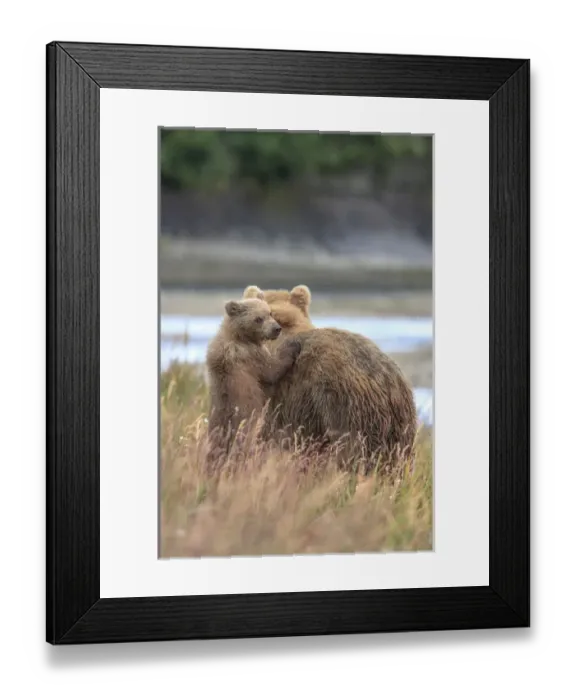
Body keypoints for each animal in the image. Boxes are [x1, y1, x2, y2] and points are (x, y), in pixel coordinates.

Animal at [205, 294, 302, 458]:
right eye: (258, 319)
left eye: (270, 313)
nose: (276, 329)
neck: (239, 336)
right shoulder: (251, 356)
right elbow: (272, 369)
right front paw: (293, 345)